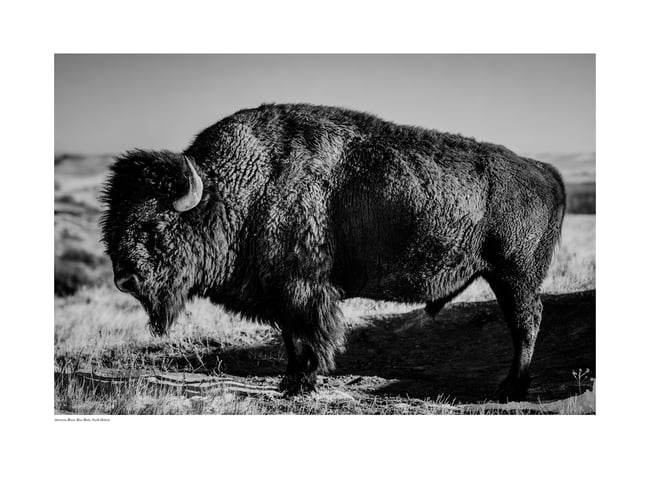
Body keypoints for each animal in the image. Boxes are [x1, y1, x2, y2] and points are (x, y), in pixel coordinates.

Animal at [101, 103, 565, 401]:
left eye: (154, 225)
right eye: (112, 222)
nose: (125, 279)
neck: (238, 188)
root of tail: (543, 171)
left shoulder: (304, 290)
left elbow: (310, 337)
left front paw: (301, 383)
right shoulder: (281, 294)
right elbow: (291, 337)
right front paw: (291, 382)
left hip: (515, 276)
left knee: (526, 324)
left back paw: (510, 389)